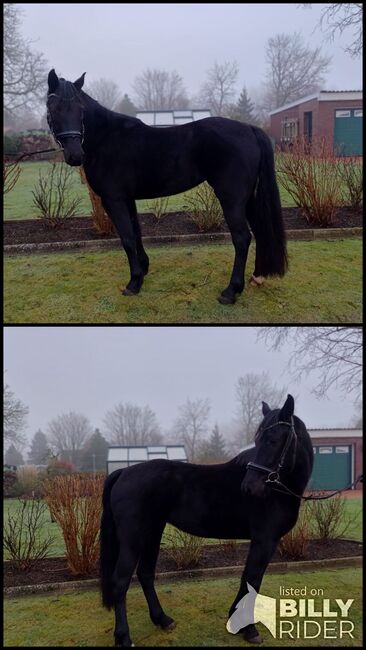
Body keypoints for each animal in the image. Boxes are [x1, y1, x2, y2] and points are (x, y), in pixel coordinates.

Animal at [46, 71, 286, 304]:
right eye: (54, 109)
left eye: (80, 110)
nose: (75, 155)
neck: (106, 138)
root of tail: (249, 129)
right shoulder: (127, 199)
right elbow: (136, 232)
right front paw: (143, 269)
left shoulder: (113, 199)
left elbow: (127, 238)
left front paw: (133, 283)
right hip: (249, 198)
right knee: (260, 231)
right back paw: (257, 277)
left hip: (232, 199)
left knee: (242, 238)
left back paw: (231, 291)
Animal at [101, 392, 314, 644]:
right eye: (258, 440)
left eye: (272, 440)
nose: (249, 488)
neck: (277, 489)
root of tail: (123, 471)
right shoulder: (265, 540)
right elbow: (252, 579)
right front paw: (248, 628)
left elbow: (248, 578)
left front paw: (236, 621)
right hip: (133, 538)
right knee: (120, 582)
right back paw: (124, 637)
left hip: (152, 532)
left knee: (145, 573)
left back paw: (163, 619)